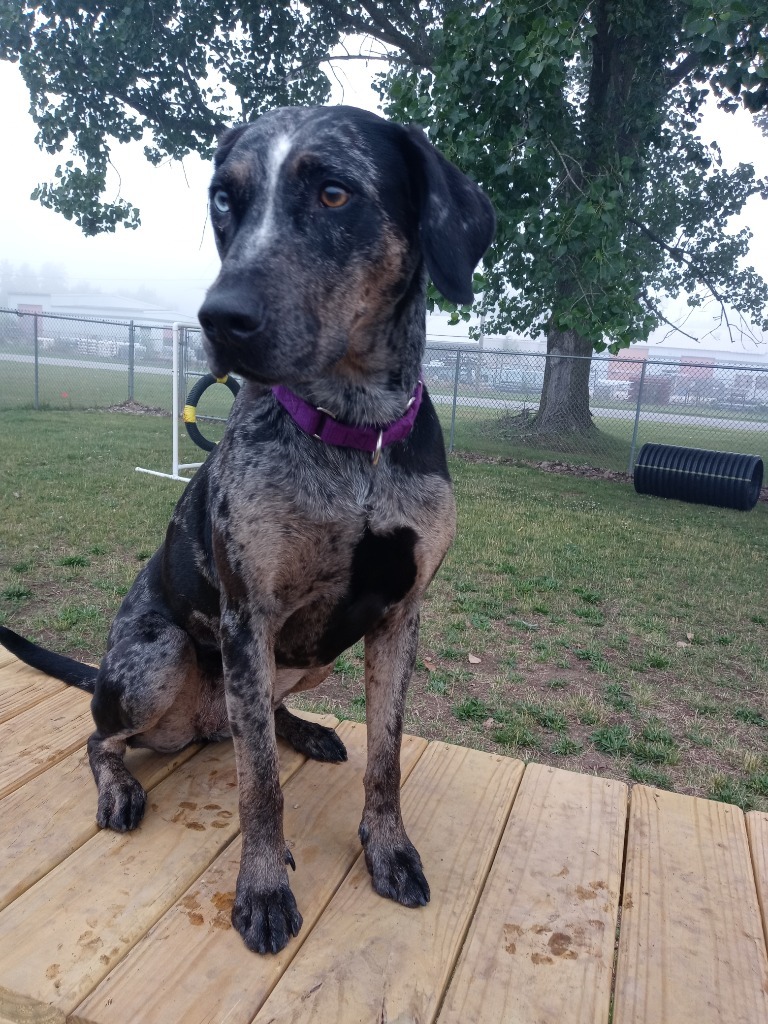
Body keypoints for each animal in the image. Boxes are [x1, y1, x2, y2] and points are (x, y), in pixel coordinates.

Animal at [0, 103, 495, 950]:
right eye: (224, 200)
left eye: (334, 193)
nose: (219, 318)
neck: (353, 434)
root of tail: (198, 724)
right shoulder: (246, 616)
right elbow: (260, 786)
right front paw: (263, 887)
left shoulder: (400, 617)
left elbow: (388, 757)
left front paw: (389, 848)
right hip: (155, 663)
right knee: (106, 737)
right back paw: (120, 787)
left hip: (310, 659)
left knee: (257, 717)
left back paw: (305, 729)